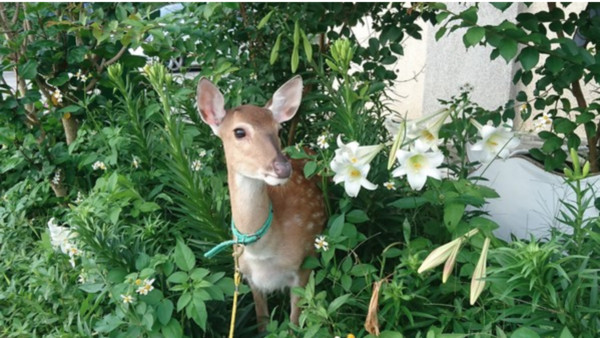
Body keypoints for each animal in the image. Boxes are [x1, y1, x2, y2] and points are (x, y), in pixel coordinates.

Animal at [197, 76, 326, 330]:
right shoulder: (248, 276)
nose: (282, 168)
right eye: (239, 131)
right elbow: (263, 322)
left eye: (278, 129)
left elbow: (294, 325)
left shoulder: (304, 265)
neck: (263, 252)